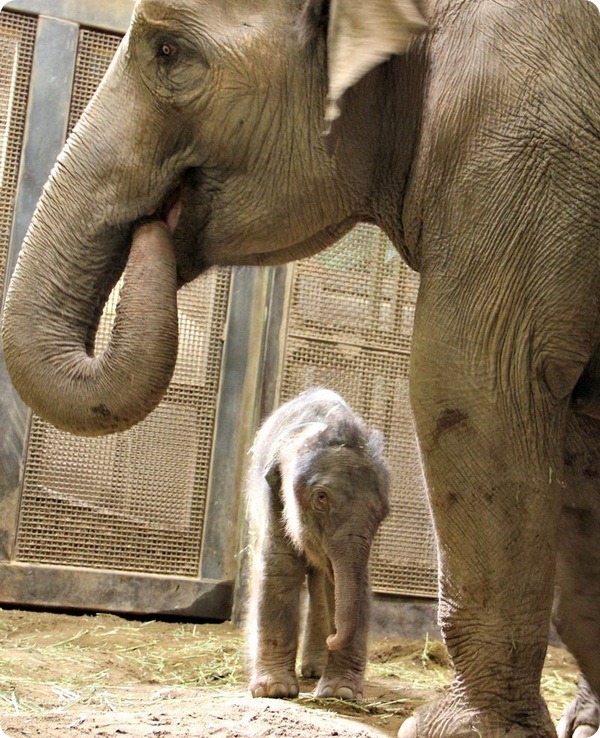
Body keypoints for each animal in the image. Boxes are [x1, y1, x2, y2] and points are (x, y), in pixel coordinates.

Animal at [245, 388, 390, 700]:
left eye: (383, 511)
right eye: (321, 498)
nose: (332, 638)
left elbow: (354, 584)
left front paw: (341, 693)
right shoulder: (273, 494)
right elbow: (279, 567)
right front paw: (275, 690)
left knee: (322, 581)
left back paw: (315, 670)